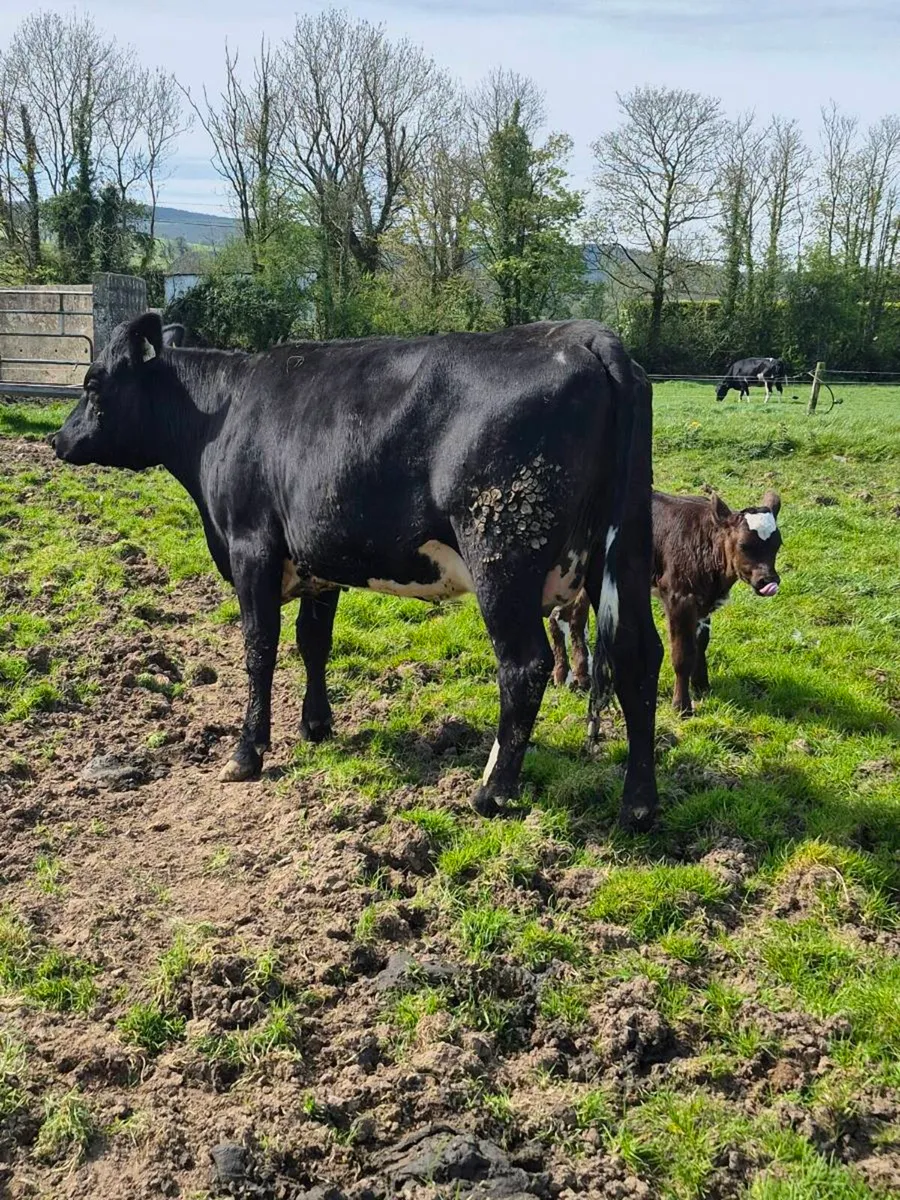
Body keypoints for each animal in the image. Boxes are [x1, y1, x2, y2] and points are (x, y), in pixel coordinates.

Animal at [50, 312, 663, 831]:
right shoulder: (319, 563)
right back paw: (638, 804)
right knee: (637, 655)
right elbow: (312, 642)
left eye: (92, 383)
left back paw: (493, 792)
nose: (57, 440)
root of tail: (583, 335)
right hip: (625, 549)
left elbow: (259, 646)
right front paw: (316, 726)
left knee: (524, 665)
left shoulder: (252, 548)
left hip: (501, 555)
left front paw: (247, 753)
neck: (220, 419)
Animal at [549, 488, 782, 716]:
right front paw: (682, 706)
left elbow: (701, 643)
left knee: (575, 618)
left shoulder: (703, 601)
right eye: (744, 545)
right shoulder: (679, 597)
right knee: (559, 616)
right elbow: (683, 653)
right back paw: (563, 676)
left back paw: (582, 677)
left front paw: (702, 686)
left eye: (777, 545)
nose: (768, 580)